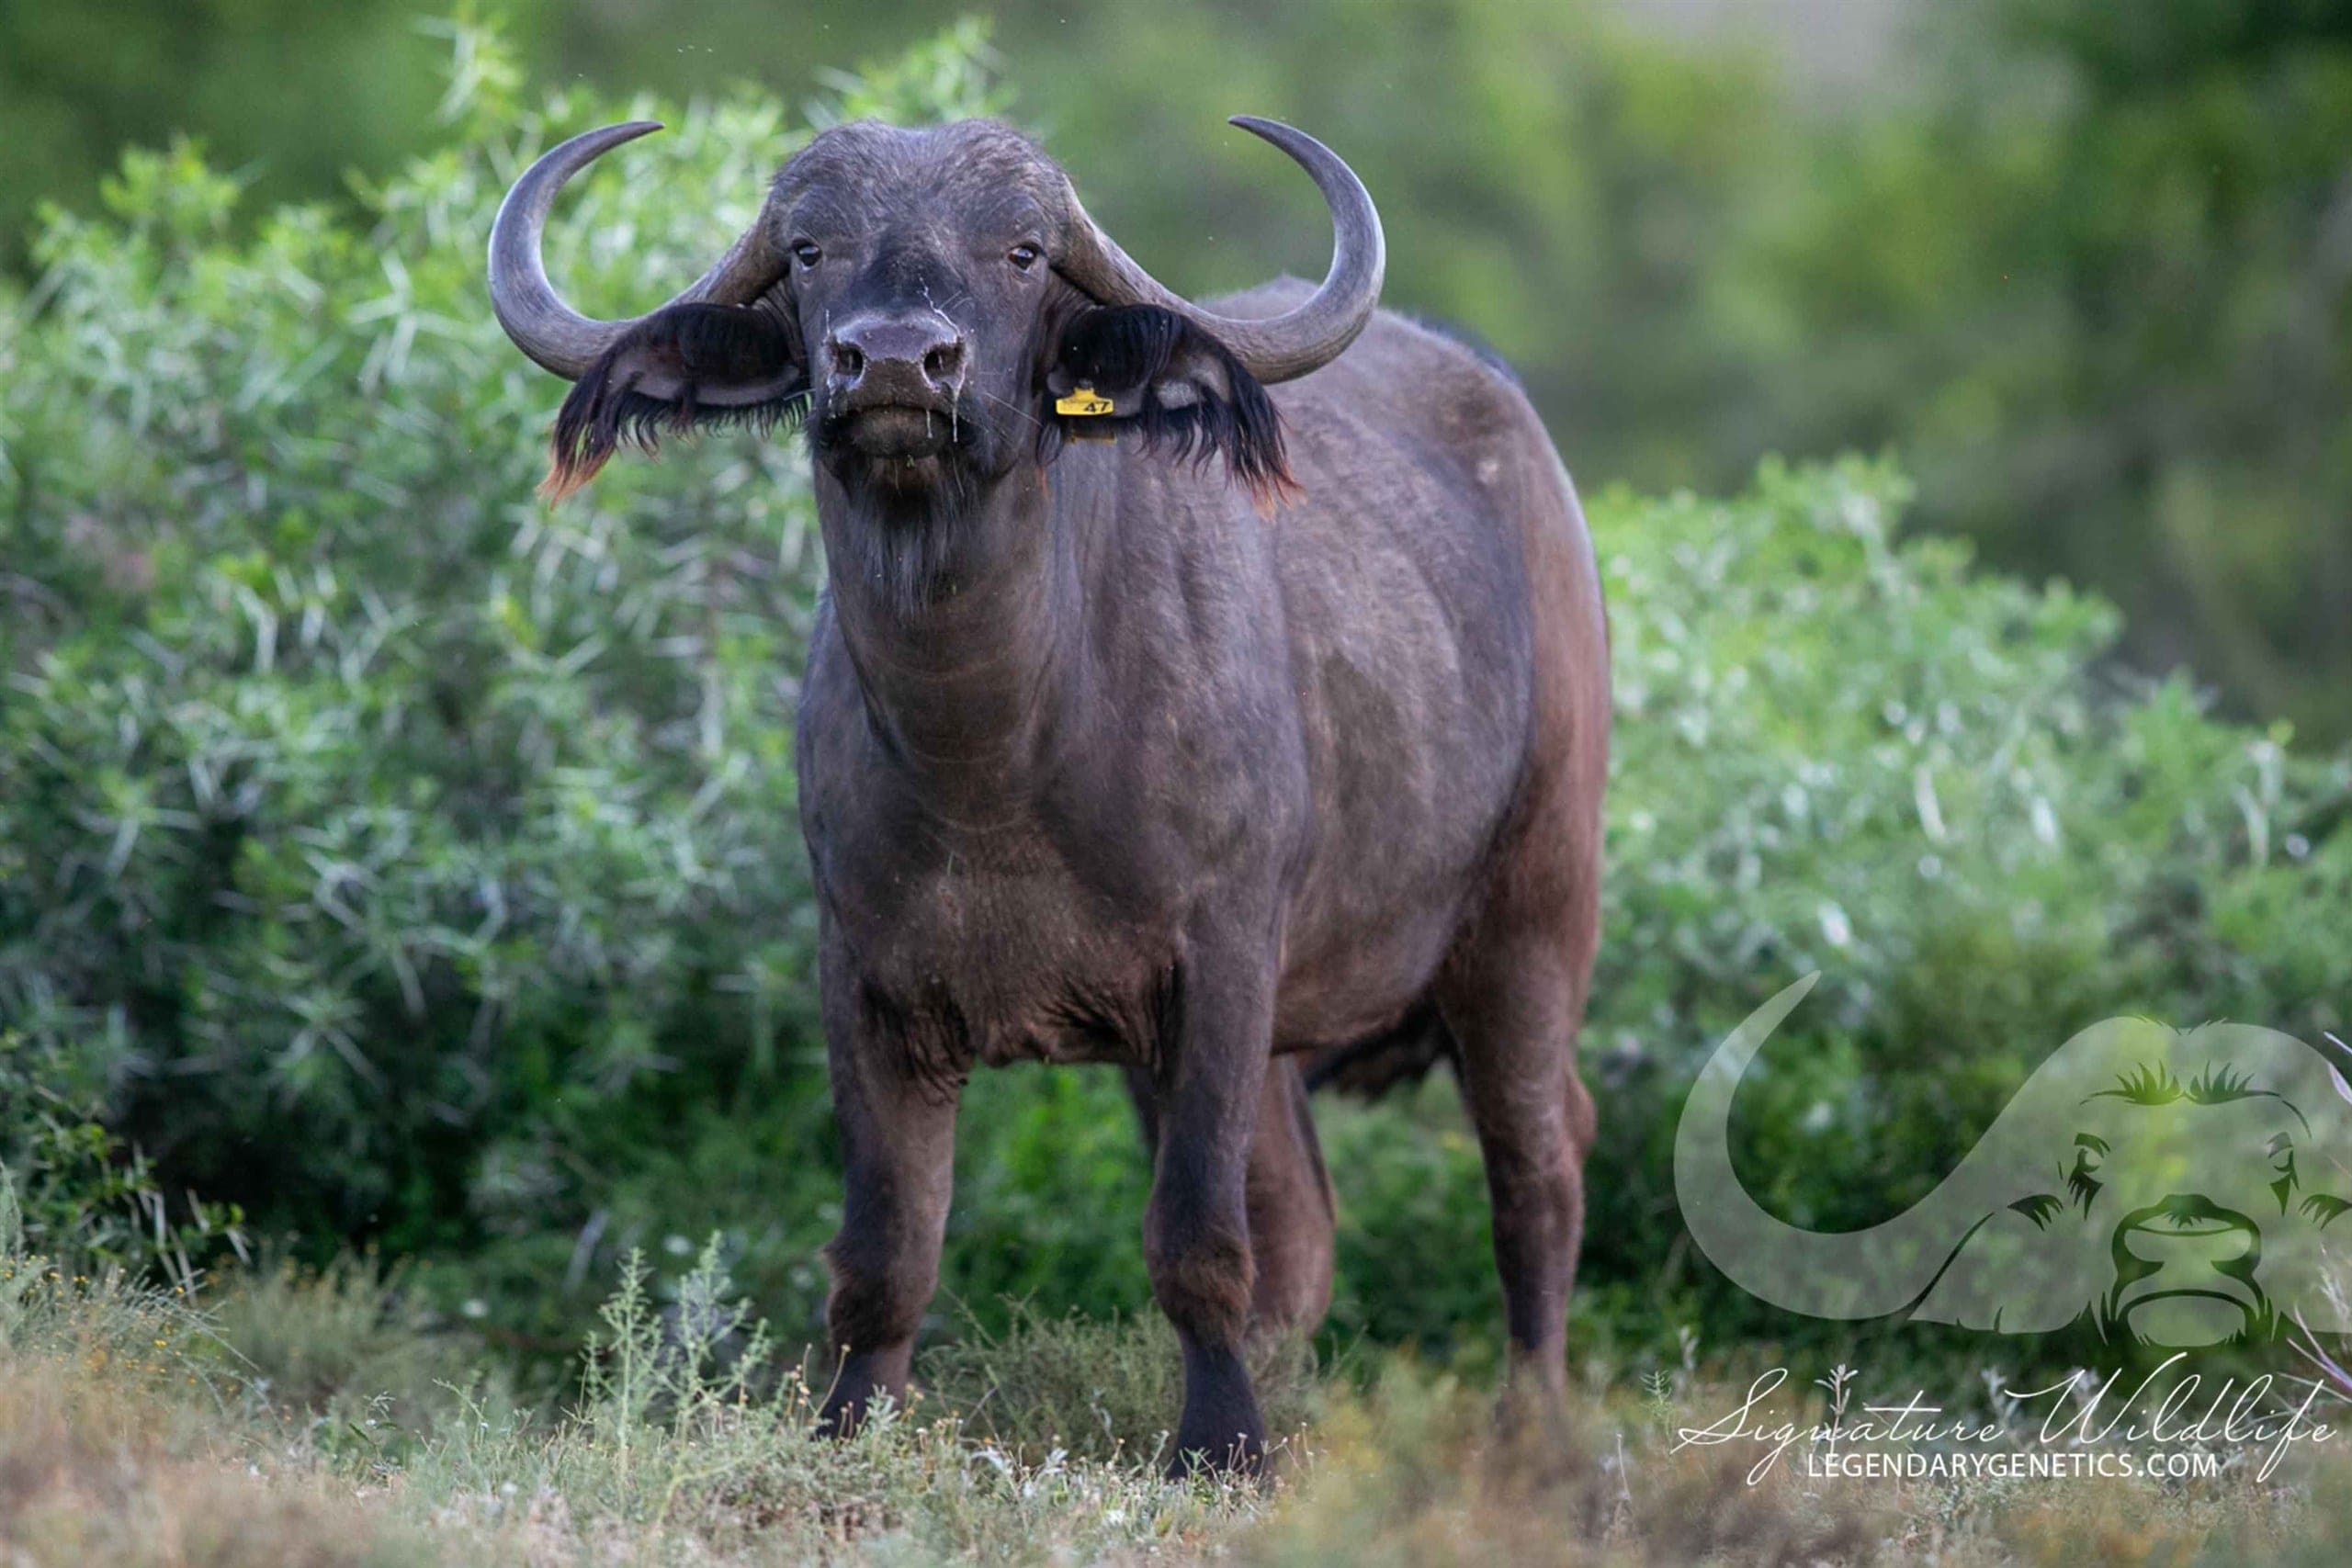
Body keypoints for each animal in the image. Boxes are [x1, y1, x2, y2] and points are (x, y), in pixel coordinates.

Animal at [486, 112, 1609, 1473]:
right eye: (809, 249)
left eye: (1020, 250)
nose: (897, 363)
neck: (993, 763)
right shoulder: (864, 982)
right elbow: (888, 1249)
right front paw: (849, 1424)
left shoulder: (1224, 964)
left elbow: (1195, 1236)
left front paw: (1219, 1446)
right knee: (1307, 1222)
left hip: (1533, 914)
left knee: (1537, 1164)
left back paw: (1533, 1427)